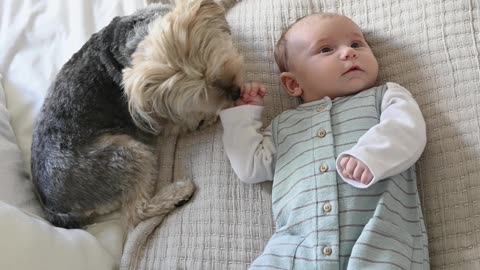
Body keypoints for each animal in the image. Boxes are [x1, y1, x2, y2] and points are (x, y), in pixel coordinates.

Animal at [31, 0, 244, 229]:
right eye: (200, 94)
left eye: (219, 64)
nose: (236, 93)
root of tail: (53, 208)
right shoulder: (166, 120)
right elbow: (189, 119)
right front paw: (210, 115)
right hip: (125, 155)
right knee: (136, 213)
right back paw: (179, 193)